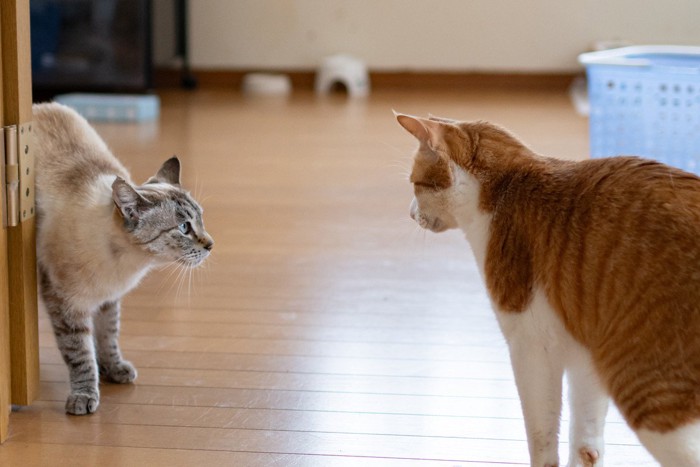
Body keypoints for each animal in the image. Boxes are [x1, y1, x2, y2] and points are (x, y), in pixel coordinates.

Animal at [33, 104, 213, 414]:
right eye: (183, 228)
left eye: (200, 220)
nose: (212, 244)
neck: (127, 263)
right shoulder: (66, 304)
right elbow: (80, 354)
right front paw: (84, 397)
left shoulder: (109, 300)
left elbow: (108, 337)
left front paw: (114, 370)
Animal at [396, 113, 700, 467]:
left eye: (415, 184)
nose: (410, 213)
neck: (502, 190)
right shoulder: (587, 348)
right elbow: (585, 438)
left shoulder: (531, 346)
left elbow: (542, 437)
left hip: (649, 393)